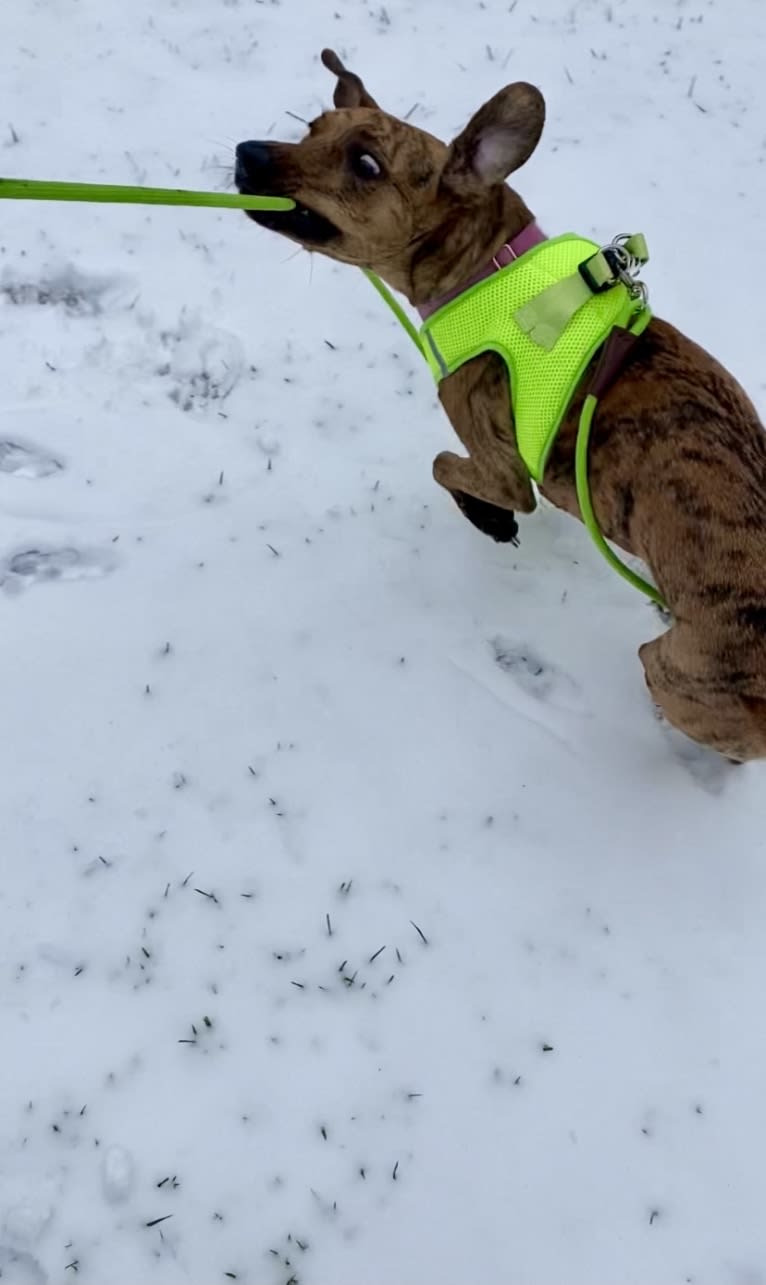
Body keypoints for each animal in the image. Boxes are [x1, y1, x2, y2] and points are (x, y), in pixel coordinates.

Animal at [235, 47, 766, 760]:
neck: (491, 268)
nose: (246, 154)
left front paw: (486, 518)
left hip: (679, 673)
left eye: (366, 164)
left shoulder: (501, 462)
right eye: (313, 126)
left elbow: (443, 465)